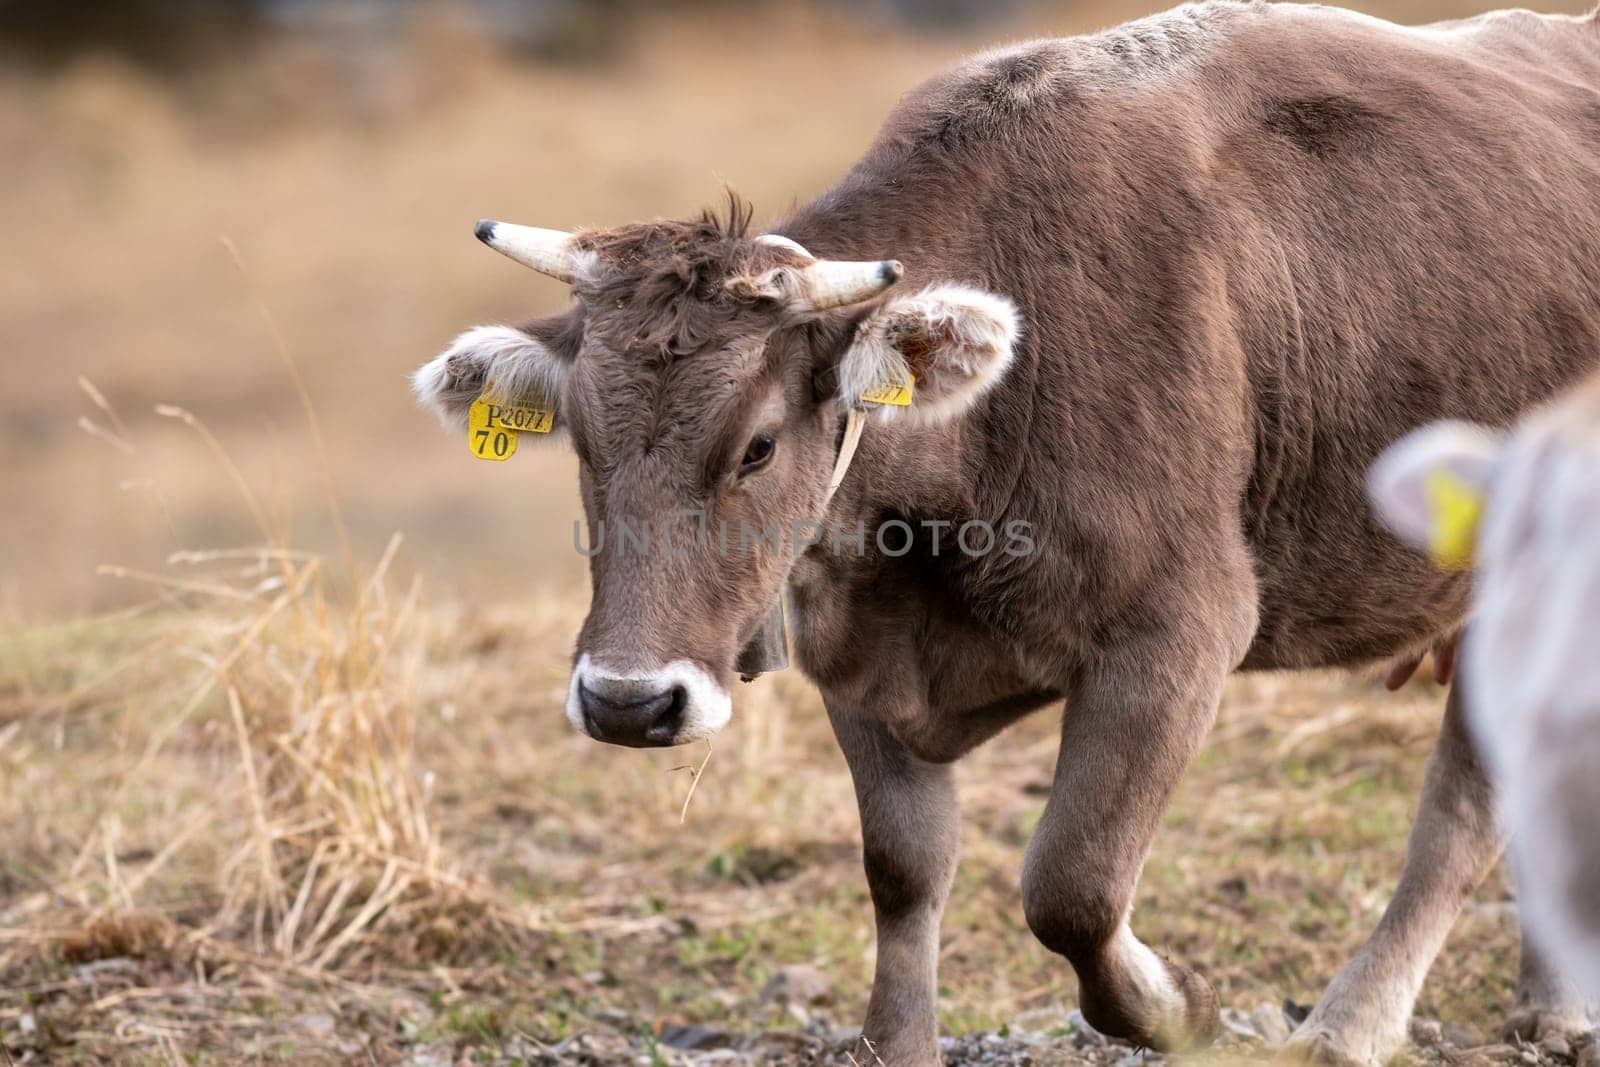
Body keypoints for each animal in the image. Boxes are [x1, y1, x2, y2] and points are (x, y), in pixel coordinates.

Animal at [409, 4, 1600, 1062]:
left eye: (756, 445)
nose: (627, 702)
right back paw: (1549, 1005)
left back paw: (1355, 1022)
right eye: (583, 436)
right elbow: (903, 865)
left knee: (1461, 804)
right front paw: (898, 1044)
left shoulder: (1178, 634)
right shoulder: (857, 656)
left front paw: (1184, 1003)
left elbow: (1071, 881)